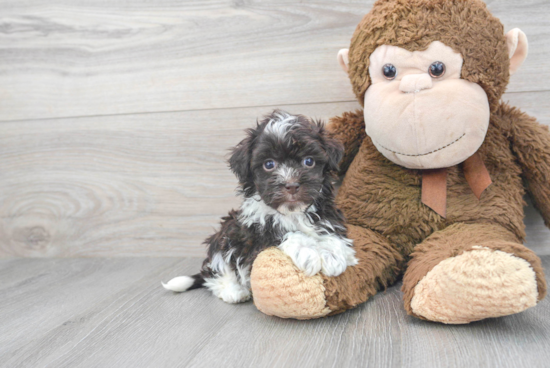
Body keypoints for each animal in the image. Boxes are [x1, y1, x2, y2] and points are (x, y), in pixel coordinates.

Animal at [162, 110, 358, 304]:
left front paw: (332, 255)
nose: (292, 185)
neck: (291, 213)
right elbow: (285, 233)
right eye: (269, 164)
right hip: (225, 234)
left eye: (309, 161)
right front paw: (308, 252)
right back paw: (233, 291)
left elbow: (331, 232)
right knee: (216, 268)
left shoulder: (327, 214)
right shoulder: (252, 236)